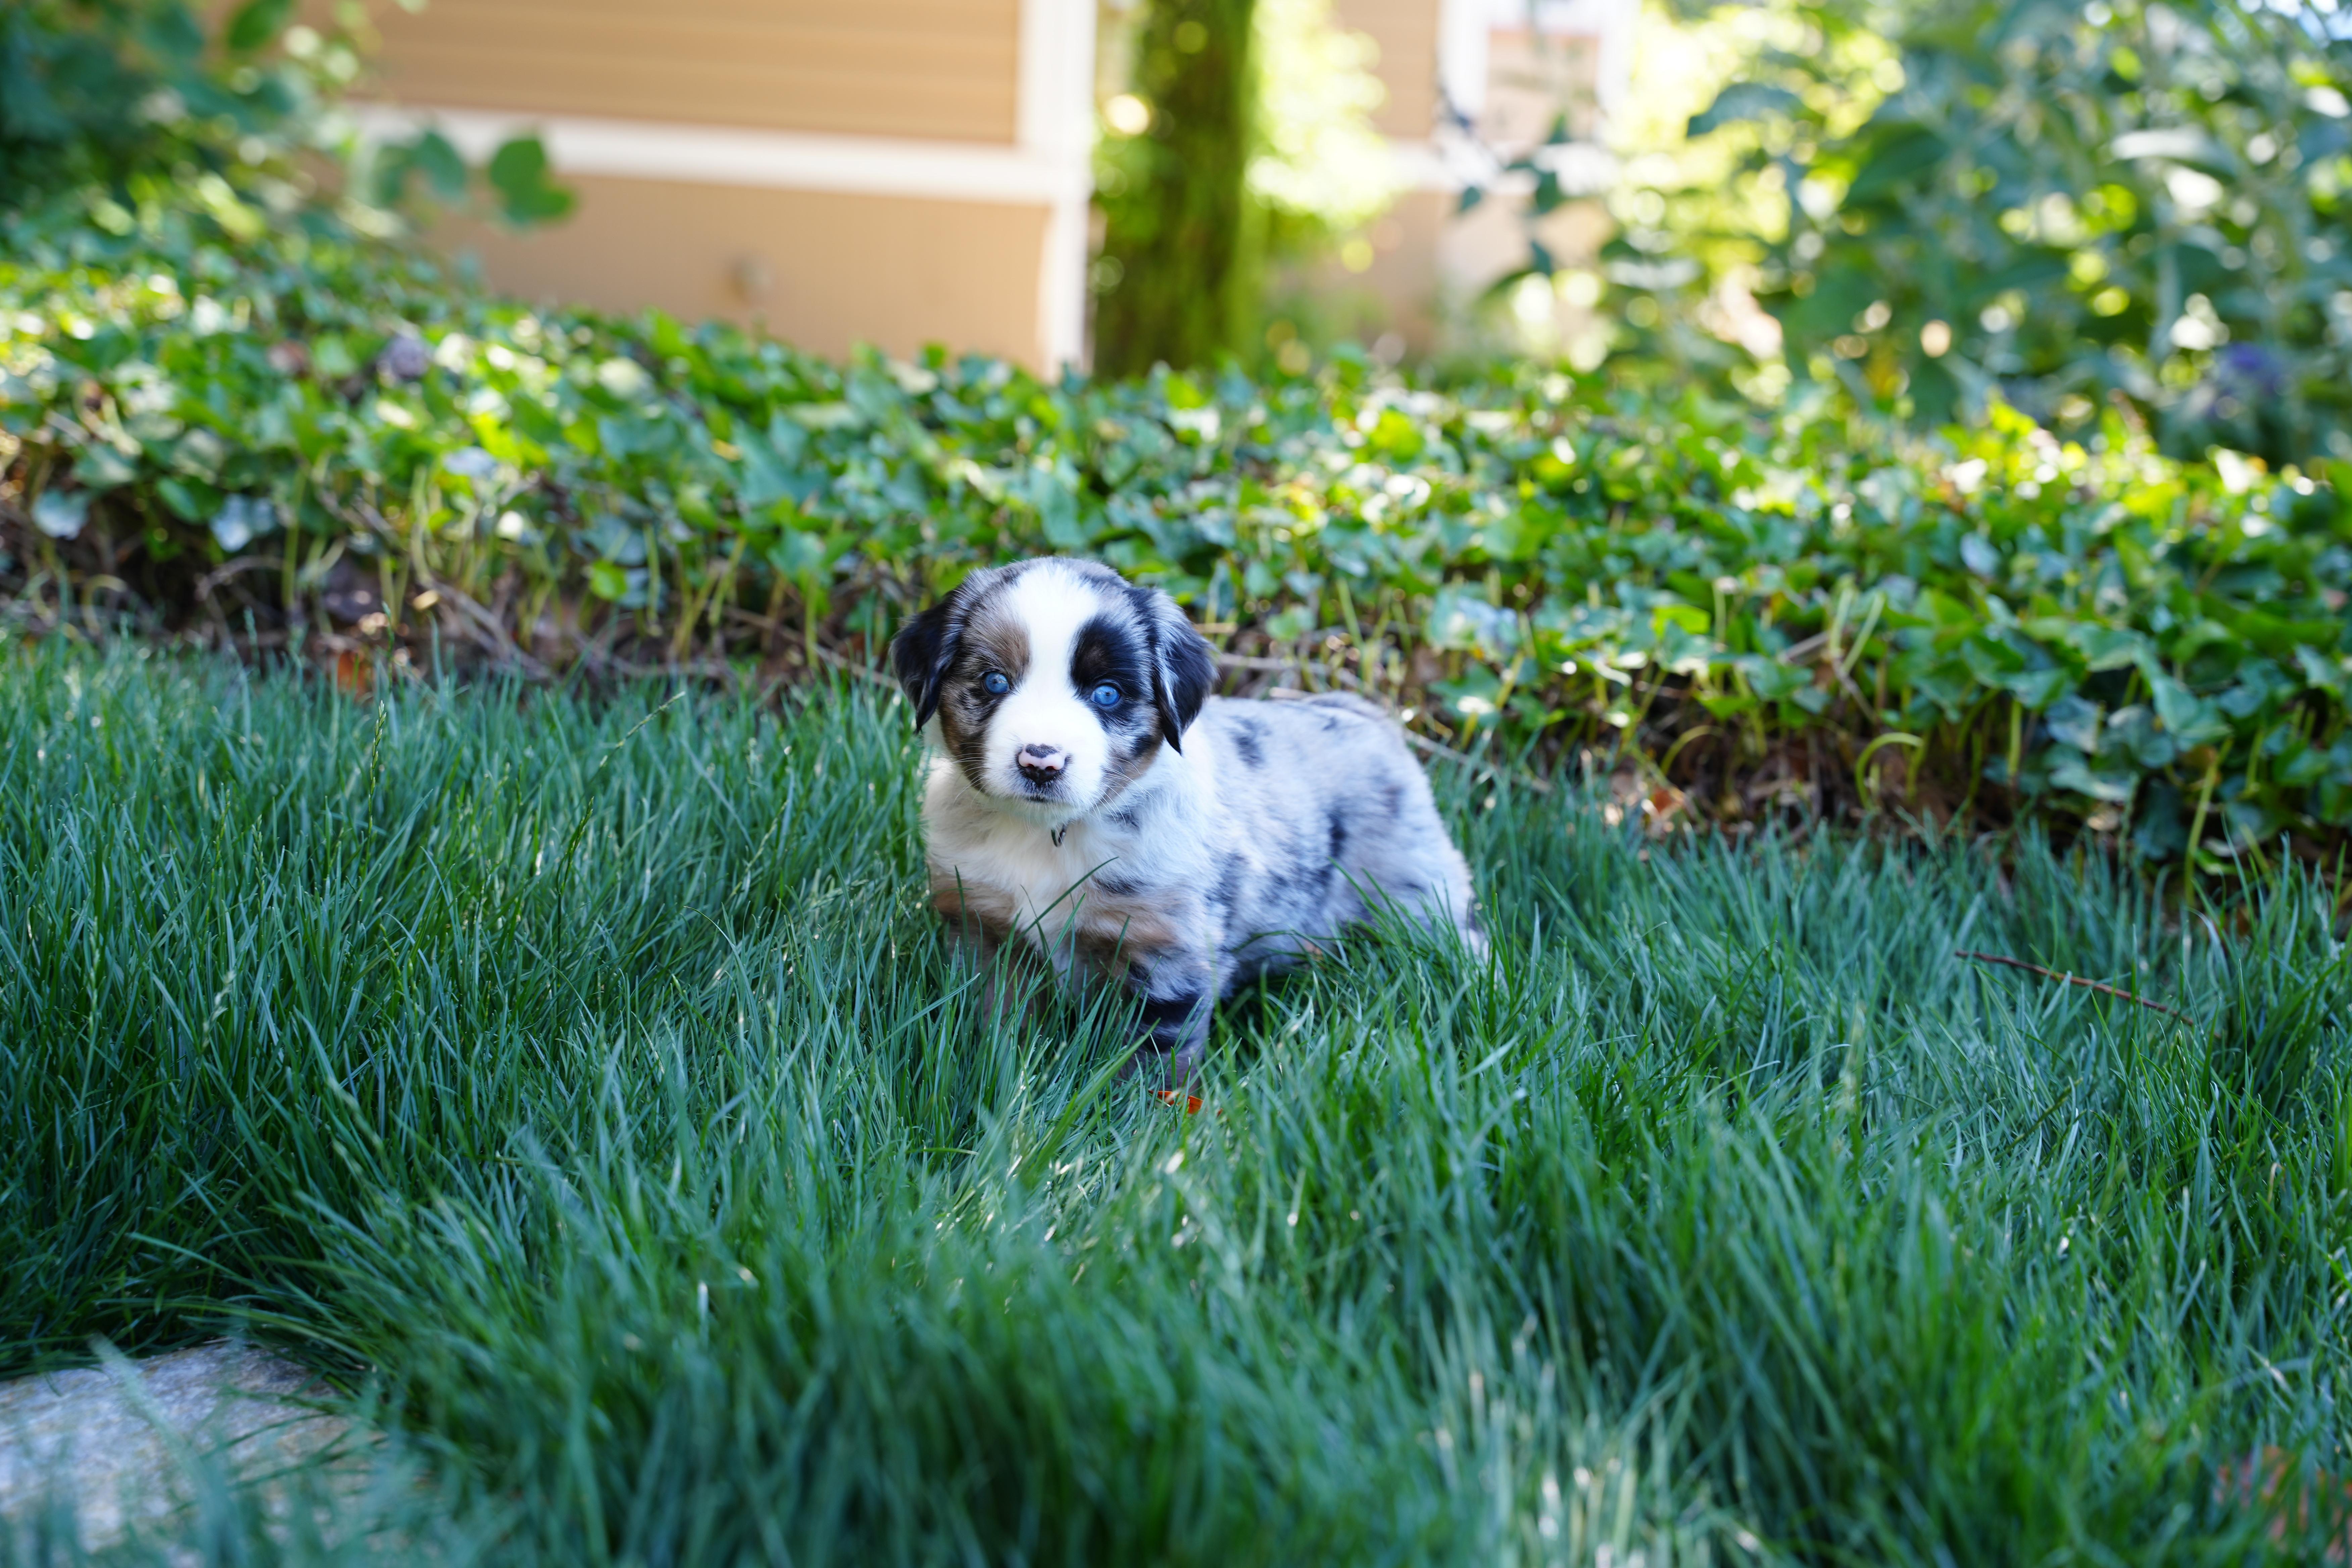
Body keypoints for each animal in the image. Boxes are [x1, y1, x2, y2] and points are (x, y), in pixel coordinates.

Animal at [890, 557, 1483, 1081]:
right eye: (995, 682)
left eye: (1108, 694)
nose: (1040, 761)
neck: (1050, 837)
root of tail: (1362, 712)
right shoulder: (984, 930)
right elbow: (998, 1026)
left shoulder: (1166, 953)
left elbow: (1153, 1064)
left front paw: (1137, 1125)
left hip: (1416, 894)